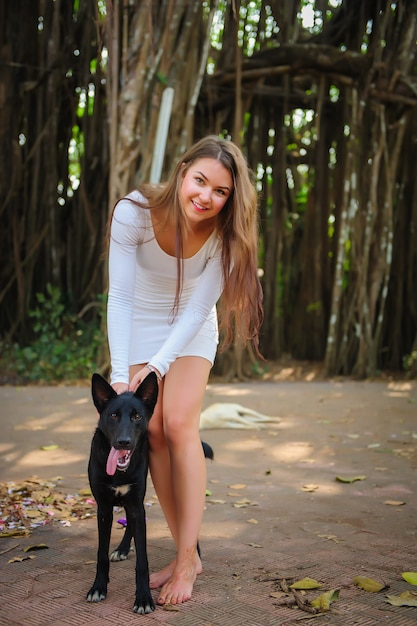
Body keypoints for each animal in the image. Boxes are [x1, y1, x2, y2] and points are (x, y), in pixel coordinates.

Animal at [86, 372, 158, 612]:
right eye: (113, 415)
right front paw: (98, 587)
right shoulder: (103, 509)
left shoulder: (136, 503)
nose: (123, 442)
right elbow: (100, 554)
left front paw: (144, 597)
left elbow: (143, 561)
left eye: (137, 416)